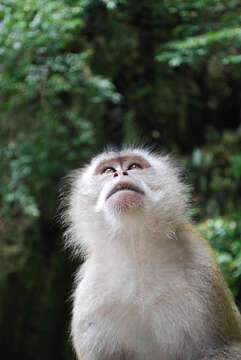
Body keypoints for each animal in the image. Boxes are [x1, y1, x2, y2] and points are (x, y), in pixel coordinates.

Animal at [62, 147, 241, 360]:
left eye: (133, 166)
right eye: (107, 170)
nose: (120, 173)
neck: (136, 251)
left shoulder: (202, 268)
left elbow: (223, 348)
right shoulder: (90, 291)